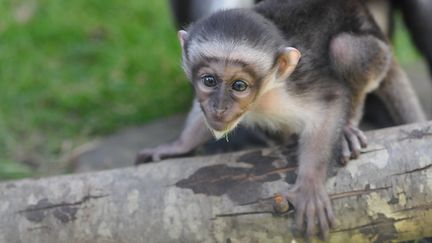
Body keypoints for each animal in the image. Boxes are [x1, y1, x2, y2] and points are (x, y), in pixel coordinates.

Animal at [138, 0, 426, 239]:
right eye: (209, 81)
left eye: (239, 85)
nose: (219, 107)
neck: (263, 96)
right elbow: (201, 114)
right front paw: (178, 146)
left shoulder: (298, 83)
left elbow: (331, 103)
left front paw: (310, 184)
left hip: (378, 53)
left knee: (344, 48)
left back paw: (346, 129)